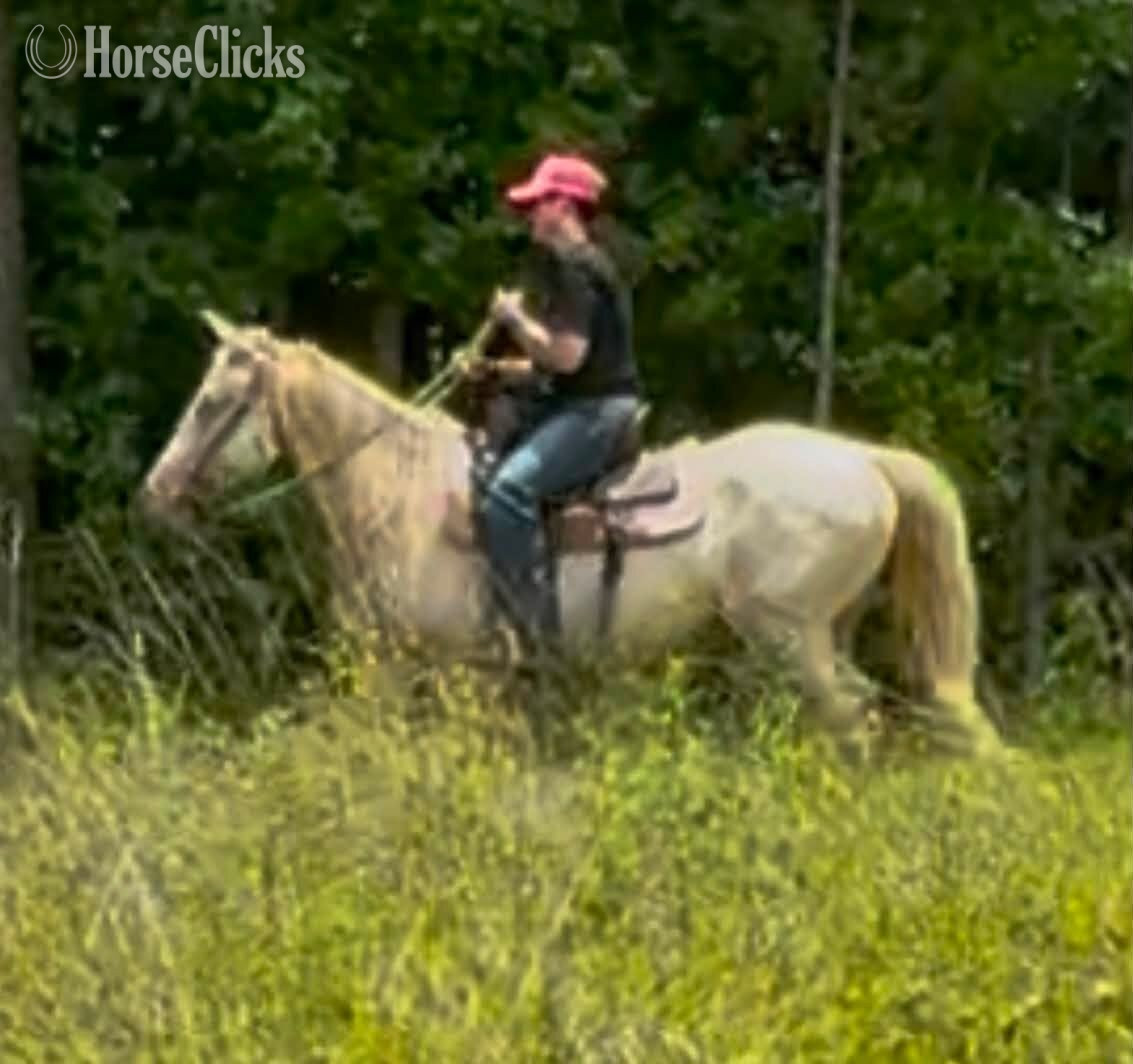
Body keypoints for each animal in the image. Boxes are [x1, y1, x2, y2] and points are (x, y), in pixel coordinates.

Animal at [138, 308, 1006, 764]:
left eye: (213, 403)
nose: (157, 493)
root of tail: (864, 459)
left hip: (790, 633)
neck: (399, 493)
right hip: (820, 630)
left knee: (851, 714)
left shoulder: (434, 665)